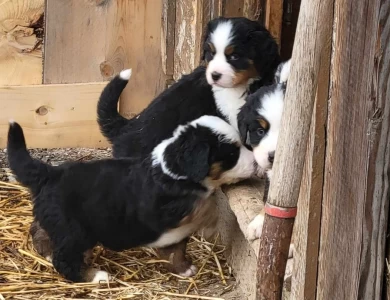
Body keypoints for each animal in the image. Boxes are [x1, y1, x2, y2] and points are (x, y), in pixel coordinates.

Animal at [7, 115, 258, 284]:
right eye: (232, 154)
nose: (257, 162)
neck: (172, 171)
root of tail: (50, 173)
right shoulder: (163, 210)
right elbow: (205, 207)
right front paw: (211, 227)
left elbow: (176, 248)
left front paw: (183, 269)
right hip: (76, 231)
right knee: (65, 259)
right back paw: (95, 276)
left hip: (58, 221)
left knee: (39, 230)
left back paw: (47, 251)